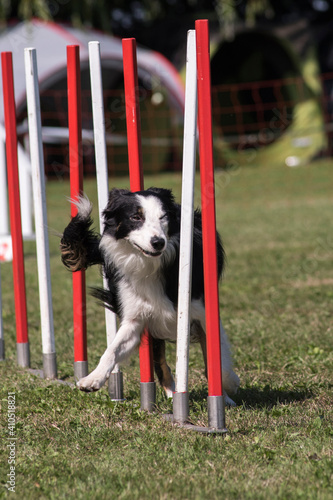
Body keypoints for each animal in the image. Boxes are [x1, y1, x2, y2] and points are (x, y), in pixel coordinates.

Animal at [60, 188, 239, 406]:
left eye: (163, 217)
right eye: (136, 217)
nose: (158, 242)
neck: (149, 264)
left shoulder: (202, 312)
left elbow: (217, 358)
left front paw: (230, 384)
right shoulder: (135, 317)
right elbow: (112, 350)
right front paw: (92, 379)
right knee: (160, 362)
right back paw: (172, 394)